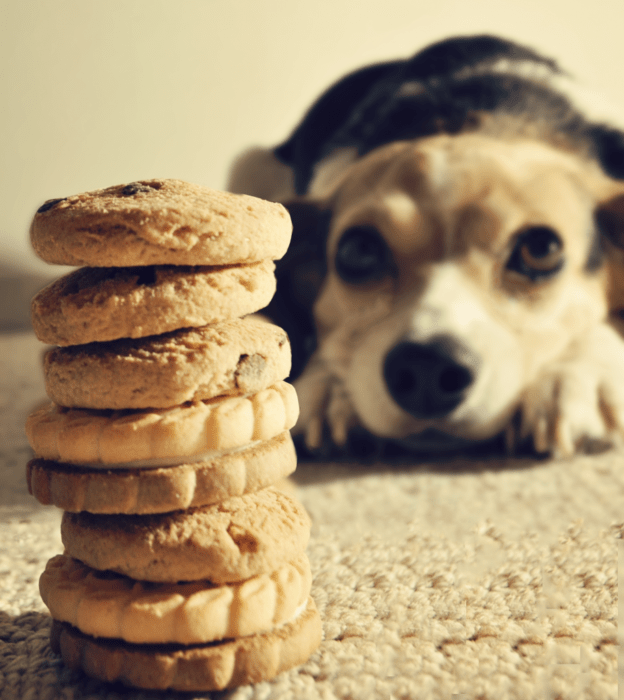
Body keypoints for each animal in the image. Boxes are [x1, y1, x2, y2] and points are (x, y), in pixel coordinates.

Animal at [228, 35, 624, 460]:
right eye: (358, 252)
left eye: (541, 249)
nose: (427, 371)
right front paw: (329, 386)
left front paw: (578, 377)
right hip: (249, 167)